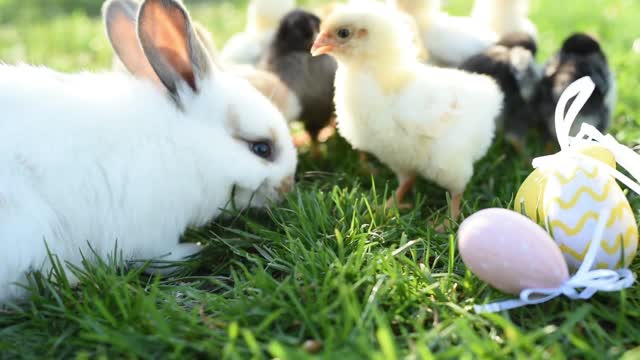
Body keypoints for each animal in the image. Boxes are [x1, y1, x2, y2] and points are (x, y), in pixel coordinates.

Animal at [0, 0, 298, 306]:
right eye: (261, 148)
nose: (288, 186)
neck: (188, 145)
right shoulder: (154, 232)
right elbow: (160, 256)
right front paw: (195, 249)